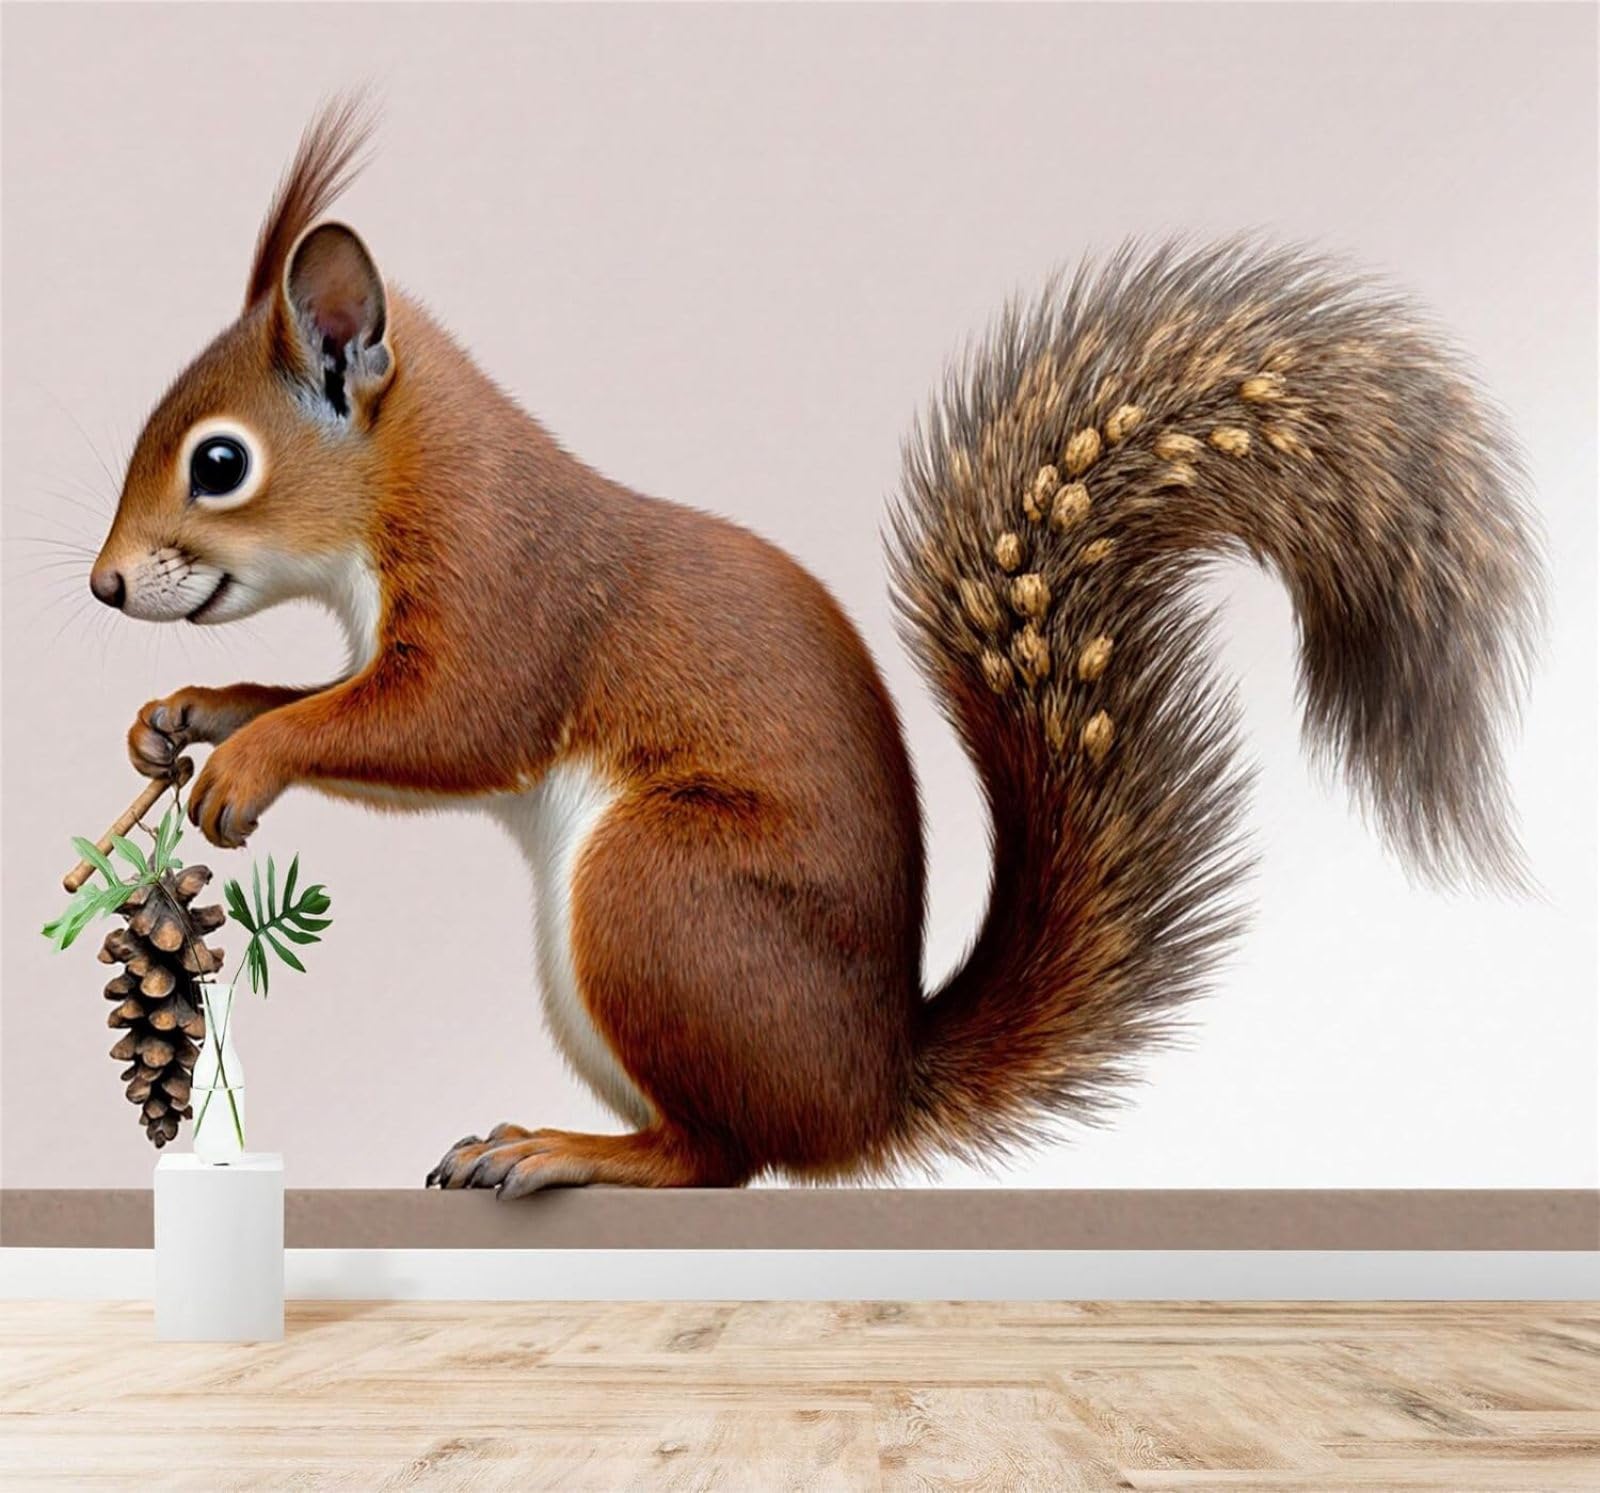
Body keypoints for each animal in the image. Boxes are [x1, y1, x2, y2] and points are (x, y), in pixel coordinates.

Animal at [89, 100, 1543, 1195]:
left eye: (219, 463)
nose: (103, 586)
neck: (414, 484)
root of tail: (871, 1087)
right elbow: (319, 690)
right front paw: (190, 715)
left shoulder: (512, 592)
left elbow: (438, 724)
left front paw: (249, 761)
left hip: (657, 896)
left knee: (721, 1154)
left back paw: (561, 1149)